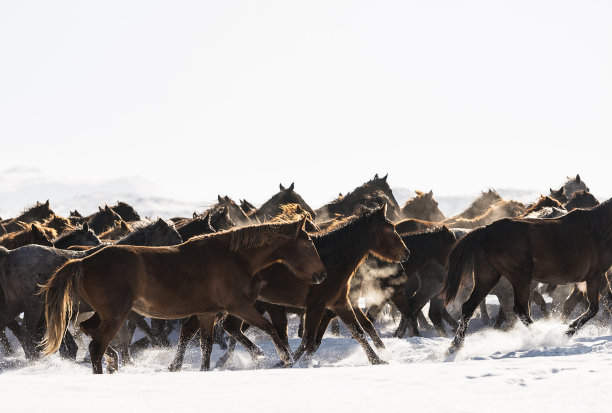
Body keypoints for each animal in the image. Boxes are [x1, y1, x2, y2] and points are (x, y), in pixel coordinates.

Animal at [41, 219, 326, 374]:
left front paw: (201, 369)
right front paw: (286, 359)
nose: (321, 274)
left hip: (103, 314)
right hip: (115, 315)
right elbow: (270, 329)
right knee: (96, 346)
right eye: (309, 243)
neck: (234, 258)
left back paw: (113, 362)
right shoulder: (239, 307)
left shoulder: (208, 312)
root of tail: (84, 261)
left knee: (91, 333)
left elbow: (204, 344)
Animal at [442, 196, 612, 354]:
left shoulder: (599, 276)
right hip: (520, 277)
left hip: (488, 275)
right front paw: (568, 331)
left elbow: (606, 301)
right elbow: (594, 308)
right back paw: (542, 337)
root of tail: (485, 231)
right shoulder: (594, 276)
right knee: (520, 309)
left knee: (469, 306)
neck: (598, 230)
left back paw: (454, 346)